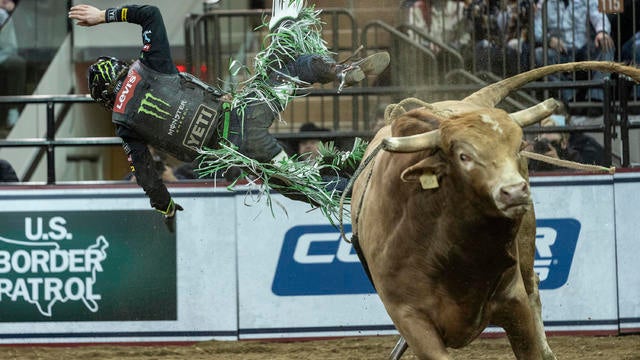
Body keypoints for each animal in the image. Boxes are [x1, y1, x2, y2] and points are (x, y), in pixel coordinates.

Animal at [350, 62, 640, 360]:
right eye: (463, 156)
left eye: (519, 147)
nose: (514, 191)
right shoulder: (410, 317)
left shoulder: (513, 300)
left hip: (526, 241)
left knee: (533, 283)